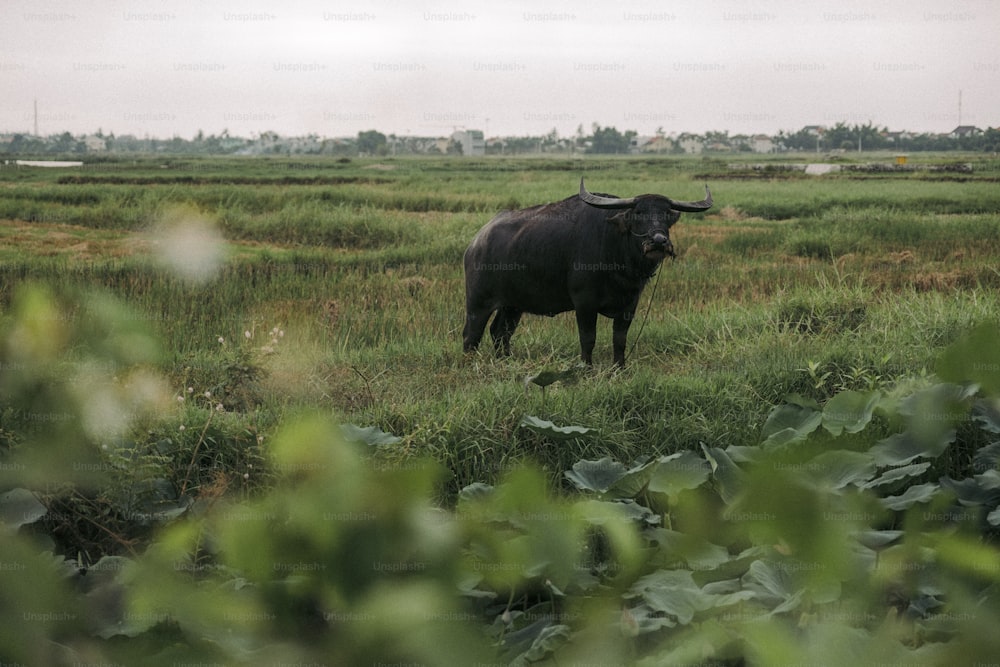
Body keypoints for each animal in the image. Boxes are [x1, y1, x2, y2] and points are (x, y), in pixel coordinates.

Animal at [464, 179, 716, 366]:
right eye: (638, 213)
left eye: (666, 215)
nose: (658, 241)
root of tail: (476, 242)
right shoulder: (584, 303)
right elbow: (588, 338)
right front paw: (586, 367)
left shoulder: (630, 304)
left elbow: (620, 339)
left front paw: (619, 368)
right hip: (478, 302)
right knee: (471, 335)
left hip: (513, 305)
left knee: (500, 332)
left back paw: (505, 360)